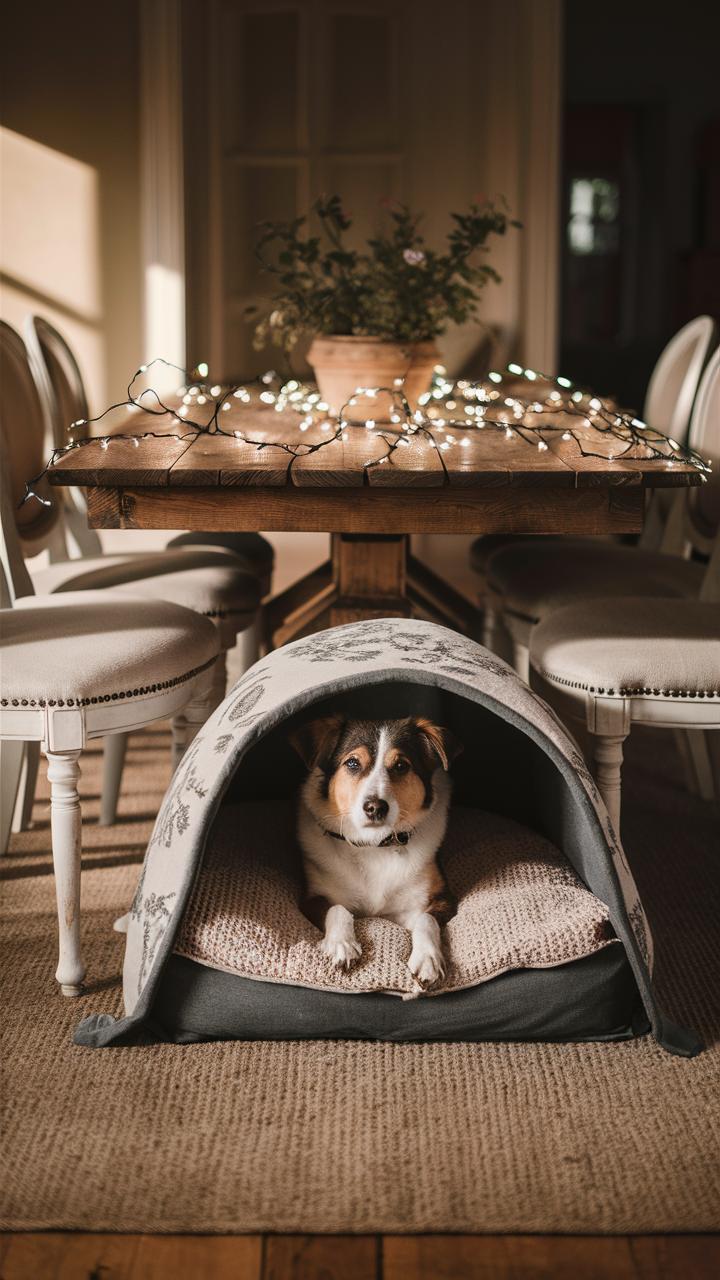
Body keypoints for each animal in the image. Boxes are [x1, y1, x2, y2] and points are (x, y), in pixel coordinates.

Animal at [286, 721, 458, 988]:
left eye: (401, 766)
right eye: (352, 763)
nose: (375, 807)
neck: (373, 846)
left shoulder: (440, 899)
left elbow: (425, 920)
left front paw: (428, 958)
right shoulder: (311, 898)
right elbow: (337, 909)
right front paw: (341, 944)